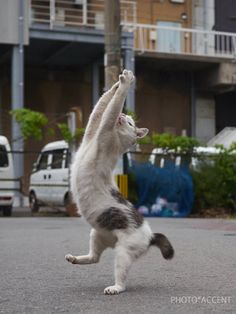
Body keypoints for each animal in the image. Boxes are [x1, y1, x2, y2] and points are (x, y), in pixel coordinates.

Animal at [65, 68, 174, 294]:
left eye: (131, 122)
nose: (123, 116)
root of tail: (150, 235)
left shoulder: (104, 130)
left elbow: (110, 109)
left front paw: (127, 83)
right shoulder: (93, 129)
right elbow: (102, 105)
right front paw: (119, 82)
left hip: (123, 253)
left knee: (120, 277)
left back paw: (115, 288)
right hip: (97, 233)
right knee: (94, 258)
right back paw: (76, 259)